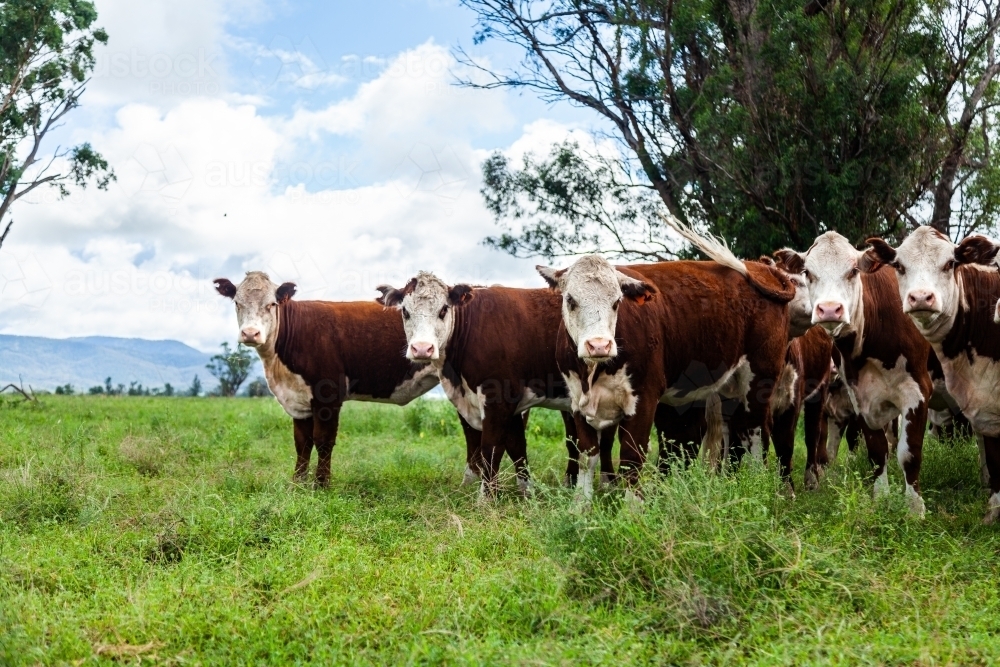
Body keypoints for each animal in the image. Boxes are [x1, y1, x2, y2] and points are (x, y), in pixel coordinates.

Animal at [214, 272, 477, 488]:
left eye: (271, 304)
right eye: (237, 303)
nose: (250, 333)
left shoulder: (327, 396)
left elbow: (323, 440)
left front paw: (321, 485)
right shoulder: (298, 399)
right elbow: (302, 443)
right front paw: (297, 483)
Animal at [376, 272, 604, 497]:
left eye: (443, 309)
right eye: (405, 311)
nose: (422, 349)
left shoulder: (499, 395)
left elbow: (491, 446)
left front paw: (485, 497)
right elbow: (510, 445)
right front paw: (524, 492)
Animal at [537, 233, 795, 497]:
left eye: (617, 302)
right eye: (570, 300)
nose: (599, 345)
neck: (594, 371)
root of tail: (761, 267)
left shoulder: (644, 398)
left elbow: (631, 457)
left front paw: (631, 505)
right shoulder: (578, 402)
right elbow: (586, 456)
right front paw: (581, 503)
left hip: (760, 379)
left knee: (757, 431)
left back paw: (758, 484)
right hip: (729, 386)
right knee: (738, 430)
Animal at [775, 231, 933, 516]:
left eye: (853, 271)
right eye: (808, 272)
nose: (829, 309)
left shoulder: (918, 392)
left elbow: (910, 452)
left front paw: (915, 508)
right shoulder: (860, 397)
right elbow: (876, 451)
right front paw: (880, 498)